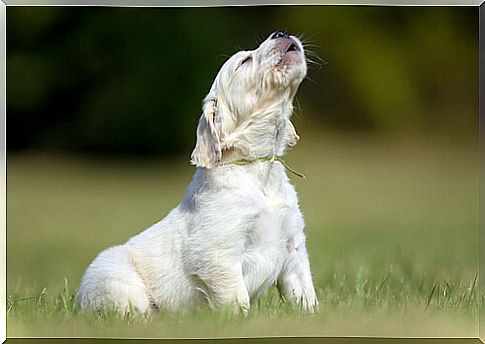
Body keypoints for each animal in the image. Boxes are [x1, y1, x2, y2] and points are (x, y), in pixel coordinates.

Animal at [75, 32, 318, 314]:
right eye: (244, 61)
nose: (281, 34)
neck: (257, 167)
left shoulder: (293, 245)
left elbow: (304, 291)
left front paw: (312, 315)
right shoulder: (219, 254)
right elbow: (236, 299)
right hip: (115, 278)